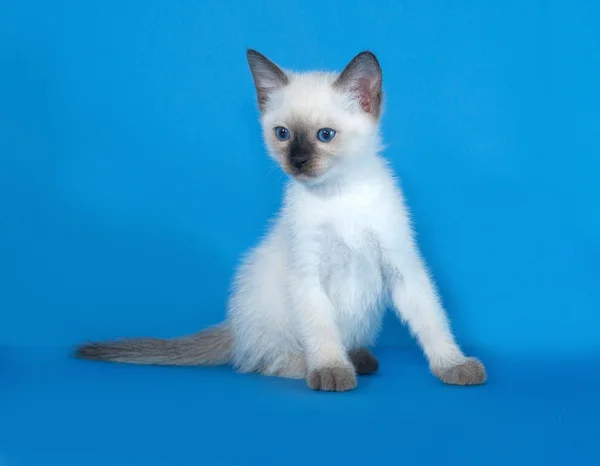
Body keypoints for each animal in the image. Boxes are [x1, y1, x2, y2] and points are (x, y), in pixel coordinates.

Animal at [76, 50, 488, 390]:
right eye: (283, 134)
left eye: (325, 135)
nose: (298, 162)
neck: (339, 194)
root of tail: (233, 327)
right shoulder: (307, 275)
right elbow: (321, 331)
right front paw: (330, 371)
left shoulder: (401, 266)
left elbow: (432, 321)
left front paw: (454, 366)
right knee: (263, 361)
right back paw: (327, 366)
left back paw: (360, 358)